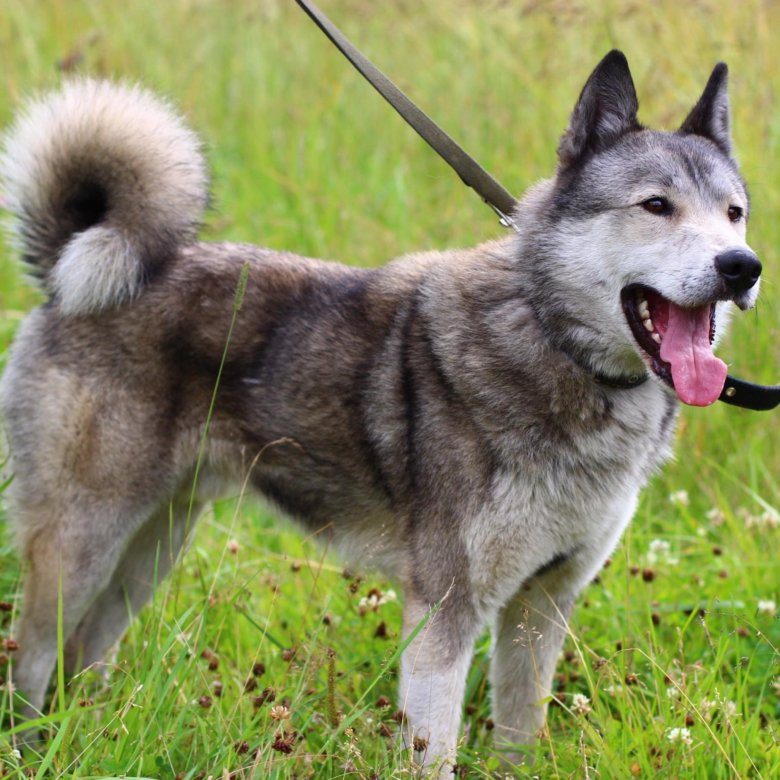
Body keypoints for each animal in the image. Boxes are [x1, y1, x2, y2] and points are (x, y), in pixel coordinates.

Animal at [0, 50, 760, 772]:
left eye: (734, 213)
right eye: (656, 205)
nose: (742, 266)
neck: (552, 340)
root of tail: (71, 273)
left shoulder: (541, 606)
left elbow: (520, 739)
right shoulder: (446, 612)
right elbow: (435, 750)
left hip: (150, 548)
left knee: (79, 659)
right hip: (80, 546)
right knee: (30, 667)